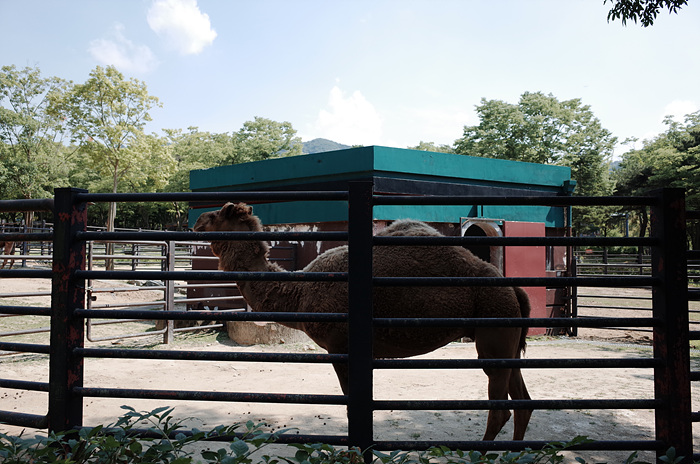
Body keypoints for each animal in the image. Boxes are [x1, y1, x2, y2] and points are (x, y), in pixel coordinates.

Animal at [194, 204, 532, 442]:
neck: (301, 292)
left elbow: (349, 406)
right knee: (523, 402)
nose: (196, 222)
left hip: (494, 333)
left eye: (219, 213)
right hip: (508, 343)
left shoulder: (340, 347)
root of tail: (513, 289)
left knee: (500, 409)